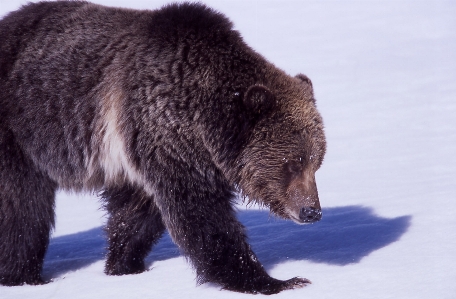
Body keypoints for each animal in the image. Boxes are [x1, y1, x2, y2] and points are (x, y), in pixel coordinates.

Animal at [0, 0, 328, 296]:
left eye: (316, 162)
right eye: (292, 162)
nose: (311, 211)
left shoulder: (142, 153)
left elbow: (136, 214)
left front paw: (123, 264)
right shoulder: (165, 130)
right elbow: (201, 215)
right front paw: (275, 281)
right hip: (19, 131)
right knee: (23, 208)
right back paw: (23, 275)